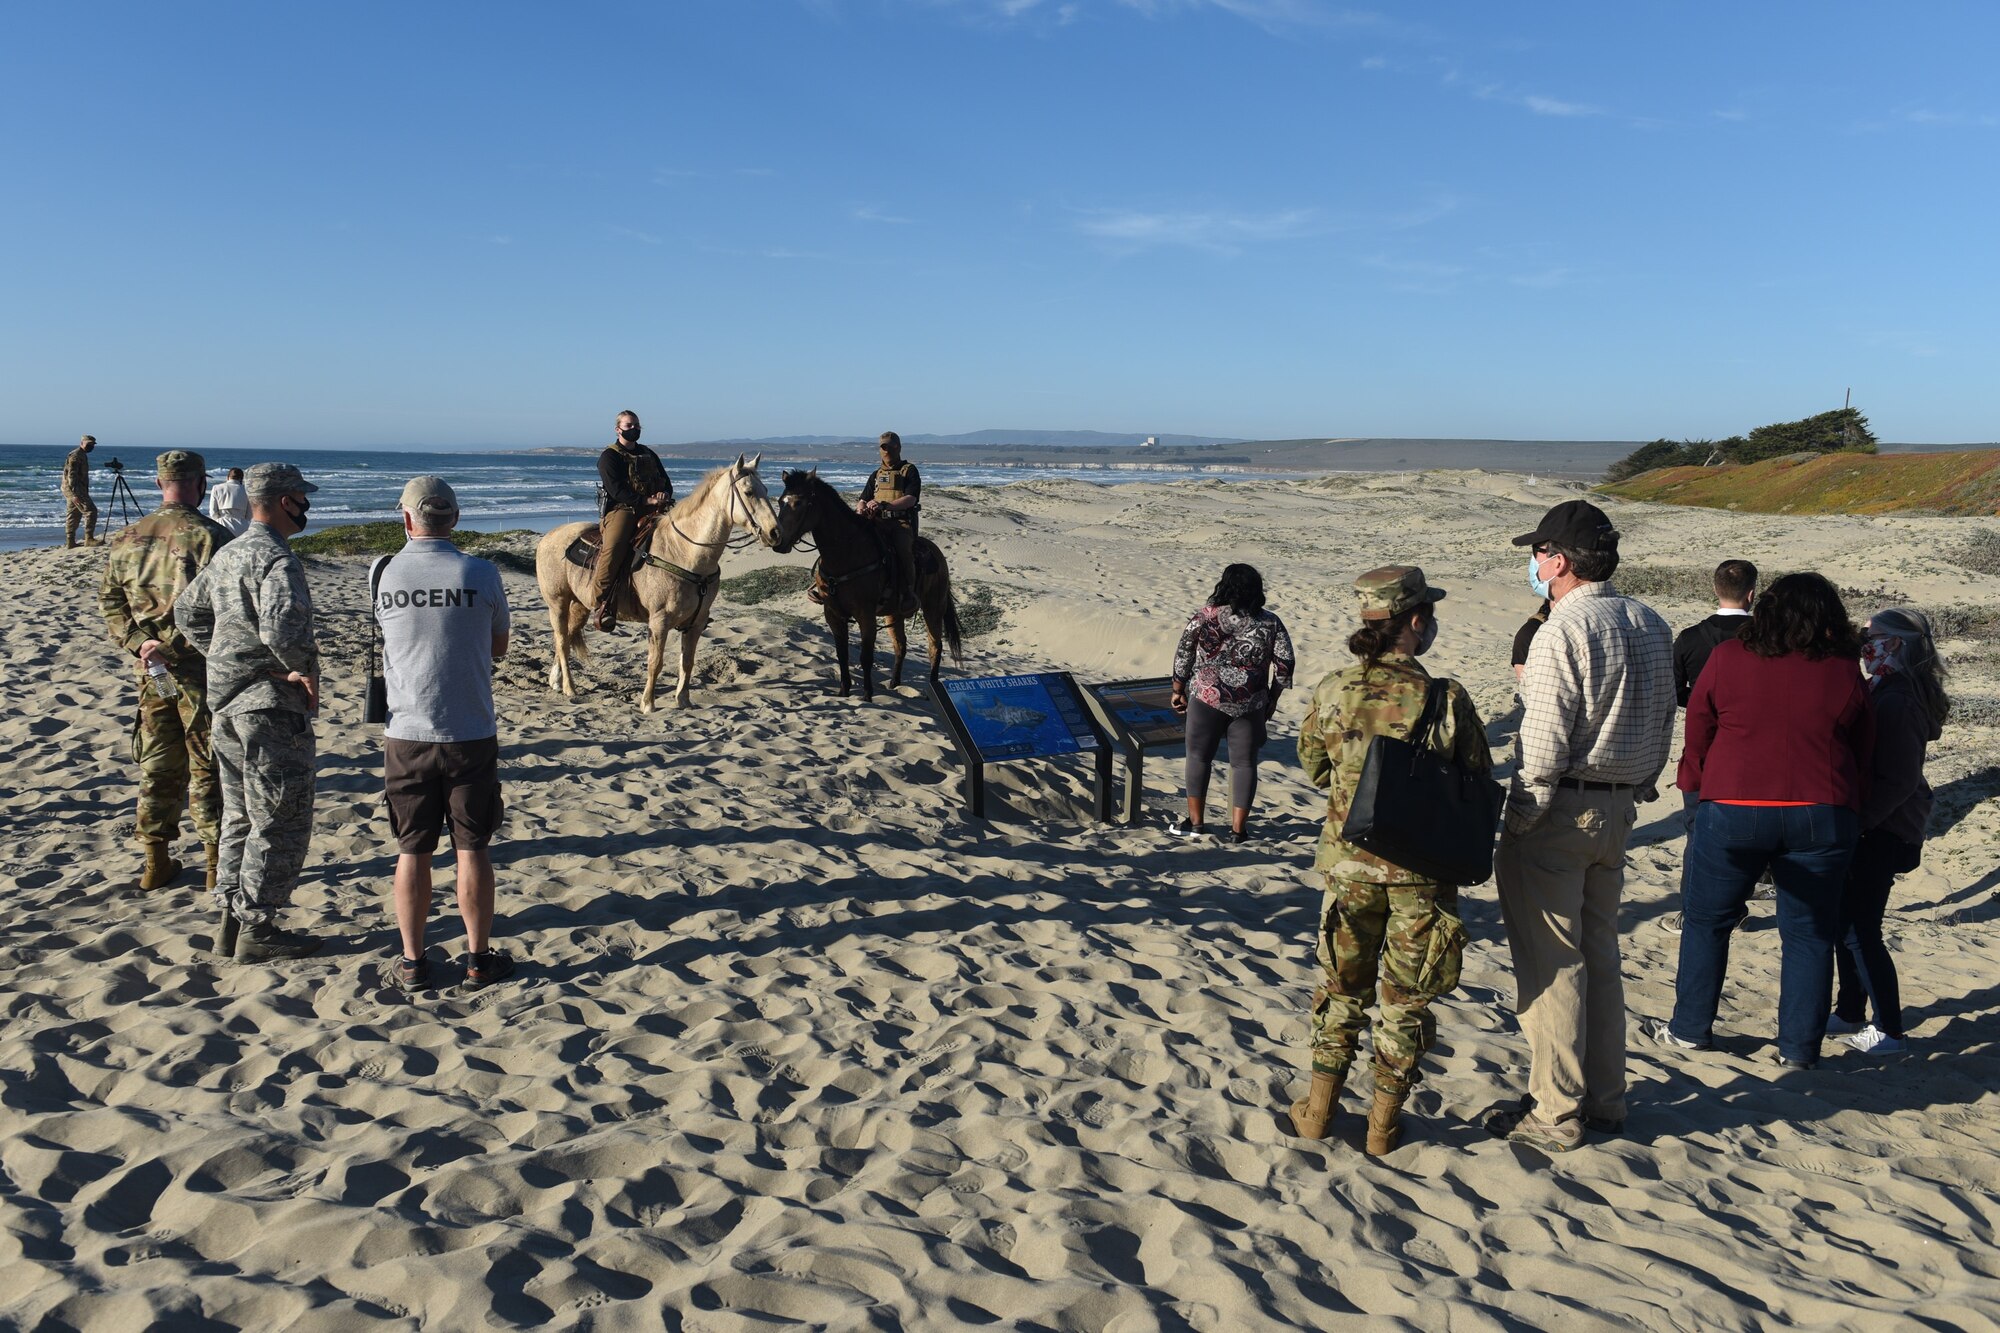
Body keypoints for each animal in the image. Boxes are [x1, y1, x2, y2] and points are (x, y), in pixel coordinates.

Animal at [532, 454, 780, 704]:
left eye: (766, 489)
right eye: (748, 492)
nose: (775, 533)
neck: (684, 552)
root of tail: (548, 537)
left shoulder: (696, 622)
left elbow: (687, 663)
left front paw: (683, 701)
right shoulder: (660, 621)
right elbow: (655, 663)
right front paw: (647, 704)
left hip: (580, 605)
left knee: (565, 638)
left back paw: (556, 681)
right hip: (558, 603)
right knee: (562, 641)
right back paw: (569, 688)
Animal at [764, 464, 960, 696]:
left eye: (800, 502)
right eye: (780, 501)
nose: (777, 540)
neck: (846, 555)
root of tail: (937, 553)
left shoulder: (865, 615)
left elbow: (866, 657)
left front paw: (867, 695)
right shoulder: (833, 614)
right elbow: (842, 655)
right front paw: (844, 691)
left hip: (933, 608)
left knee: (935, 646)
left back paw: (932, 686)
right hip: (895, 613)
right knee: (901, 645)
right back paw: (894, 683)